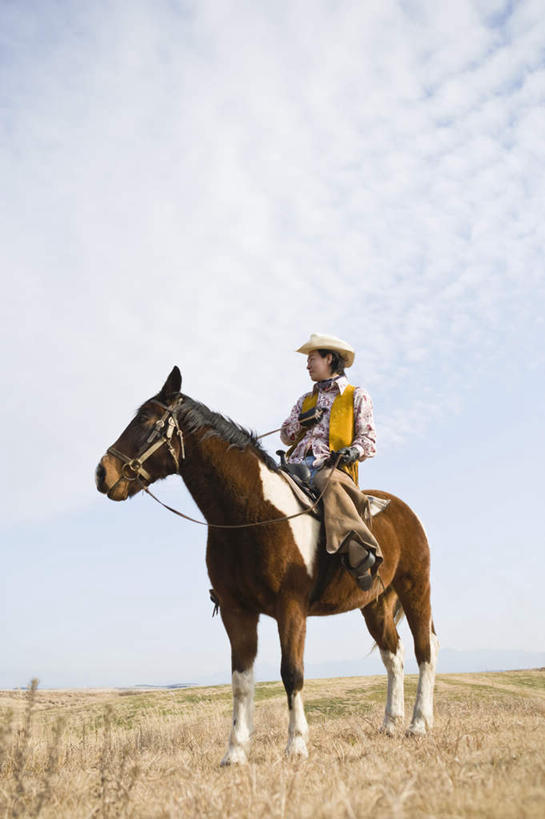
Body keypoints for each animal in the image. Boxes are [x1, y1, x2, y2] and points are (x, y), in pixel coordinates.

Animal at [96, 368, 438, 764]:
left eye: (146, 421)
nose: (102, 473)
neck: (253, 513)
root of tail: (402, 510)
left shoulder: (290, 609)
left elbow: (292, 673)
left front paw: (296, 744)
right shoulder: (237, 611)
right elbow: (241, 681)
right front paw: (235, 752)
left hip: (415, 589)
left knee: (424, 651)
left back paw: (418, 723)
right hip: (375, 604)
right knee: (394, 656)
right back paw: (391, 723)